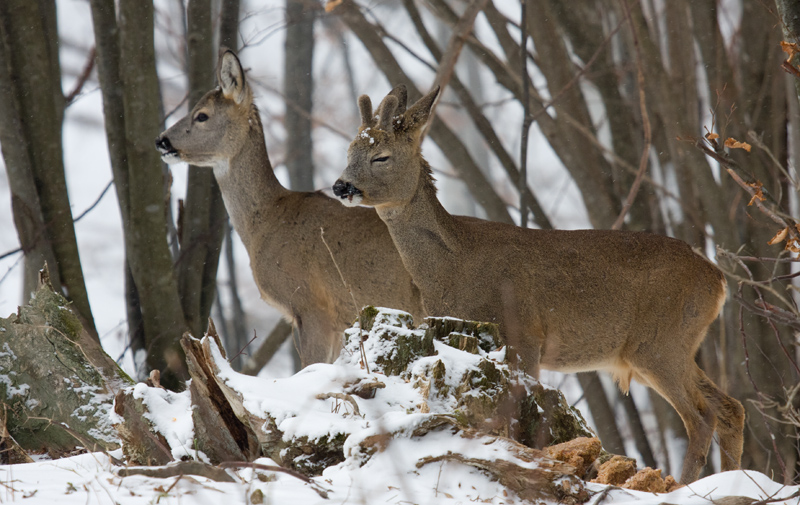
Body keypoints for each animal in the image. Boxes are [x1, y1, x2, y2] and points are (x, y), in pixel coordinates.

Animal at [332, 84, 744, 482]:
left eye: (381, 156)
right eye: (349, 150)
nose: (340, 186)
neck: (453, 265)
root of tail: (718, 279)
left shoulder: (525, 334)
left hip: (659, 343)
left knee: (701, 418)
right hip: (672, 346)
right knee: (731, 408)